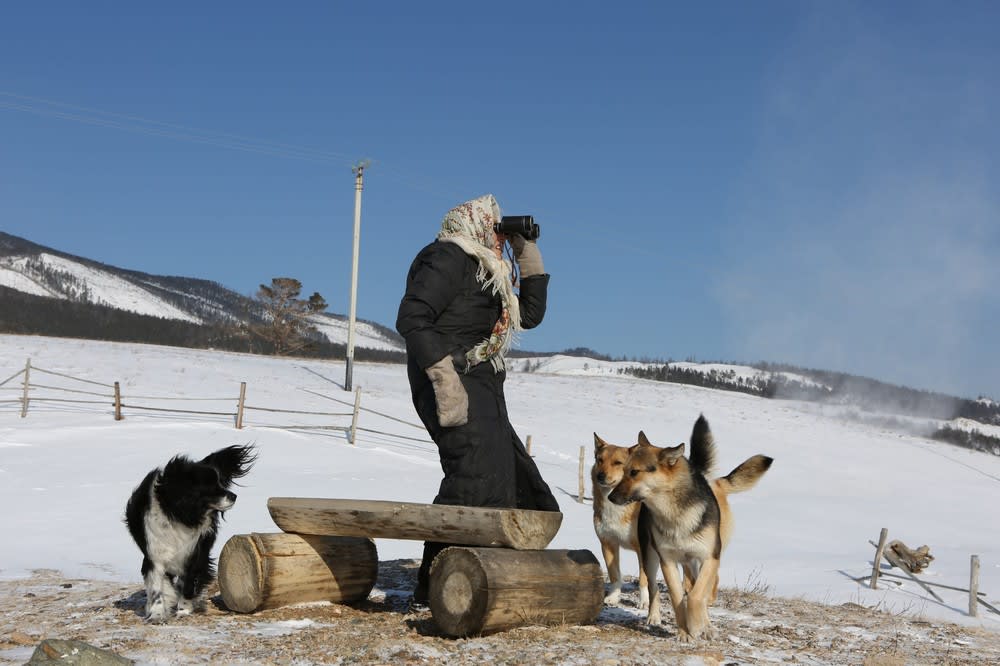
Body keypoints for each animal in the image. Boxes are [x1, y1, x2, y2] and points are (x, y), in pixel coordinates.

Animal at [124, 444, 257, 622]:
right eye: (211, 487)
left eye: (221, 482)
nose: (234, 496)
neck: (179, 513)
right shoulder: (154, 555)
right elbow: (157, 587)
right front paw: (157, 614)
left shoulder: (195, 552)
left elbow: (188, 583)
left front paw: (184, 610)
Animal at [591, 433, 648, 608]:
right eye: (599, 459)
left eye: (618, 463)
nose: (600, 476)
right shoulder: (608, 543)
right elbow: (614, 575)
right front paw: (613, 597)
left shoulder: (643, 548)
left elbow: (644, 579)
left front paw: (644, 602)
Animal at [608, 415, 771, 640]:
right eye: (624, 471)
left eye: (634, 472)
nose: (610, 497)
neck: (675, 513)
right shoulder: (667, 561)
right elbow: (678, 598)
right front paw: (684, 631)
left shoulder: (710, 557)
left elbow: (696, 596)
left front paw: (696, 626)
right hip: (650, 557)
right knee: (654, 587)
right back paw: (654, 617)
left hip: (698, 561)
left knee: (699, 590)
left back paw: (706, 625)